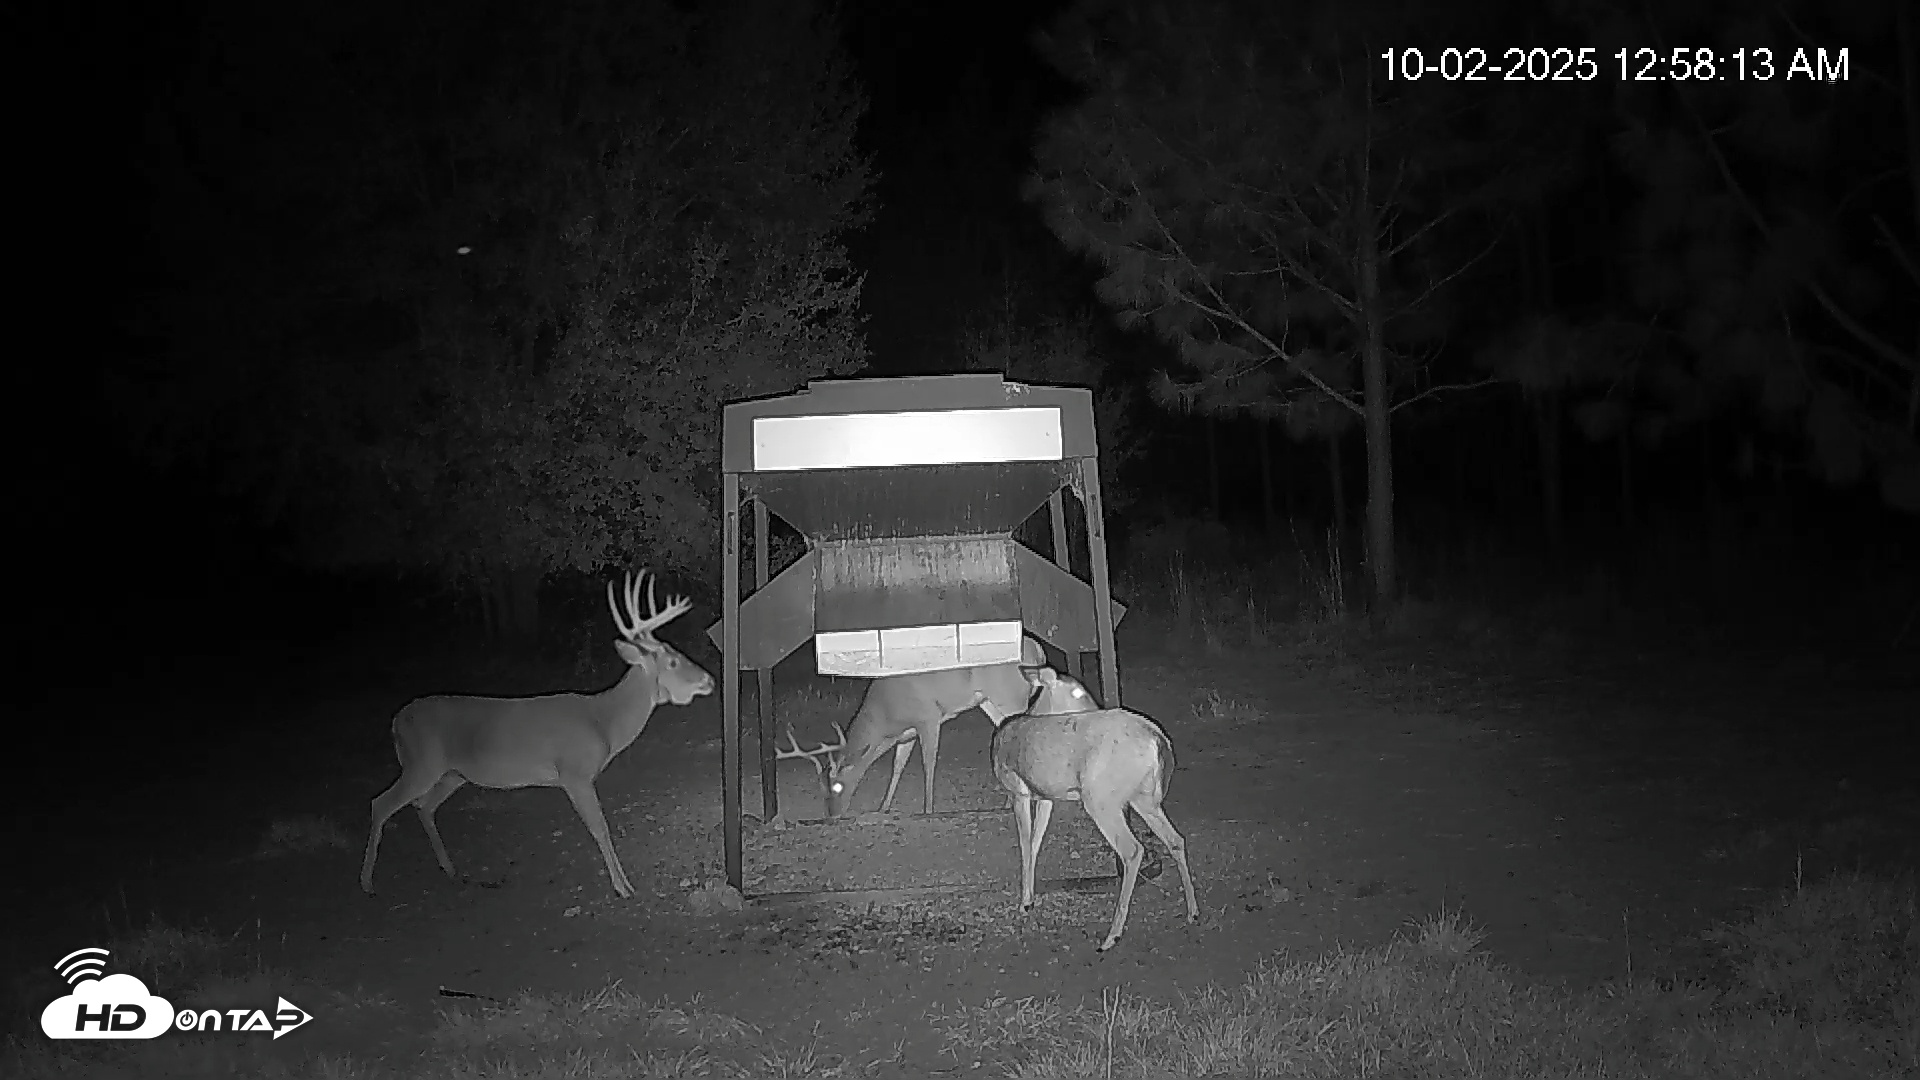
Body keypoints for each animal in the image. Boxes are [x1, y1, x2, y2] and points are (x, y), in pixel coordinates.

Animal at [360, 569, 713, 899]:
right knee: (381, 803)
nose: (709, 679)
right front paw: (623, 887)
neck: (603, 722)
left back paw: (450, 869)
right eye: (672, 661)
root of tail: (395, 721)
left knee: (424, 806)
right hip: (422, 763)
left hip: (453, 773)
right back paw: (367, 883)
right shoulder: (574, 773)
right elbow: (600, 828)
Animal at [777, 636, 1044, 818]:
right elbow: (898, 766)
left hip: (1011, 696)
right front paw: (883, 808)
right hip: (990, 702)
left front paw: (928, 809)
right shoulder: (906, 734)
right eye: (820, 788)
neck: (886, 717)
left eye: (838, 785)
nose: (832, 815)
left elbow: (928, 764)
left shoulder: (928, 717)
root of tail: (1037, 650)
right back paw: (1008, 801)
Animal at [988, 666, 1200, 952]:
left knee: (1133, 850)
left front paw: (1024, 903)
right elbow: (1034, 843)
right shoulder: (1046, 797)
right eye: (1078, 691)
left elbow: (1024, 844)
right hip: (1144, 796)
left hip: (1100, 798)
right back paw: (1192, 912)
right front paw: (1030, 899)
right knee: (1175, 839)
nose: (1097, 707)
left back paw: (1112, 936)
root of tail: (1158, 739)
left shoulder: (1016, 788)